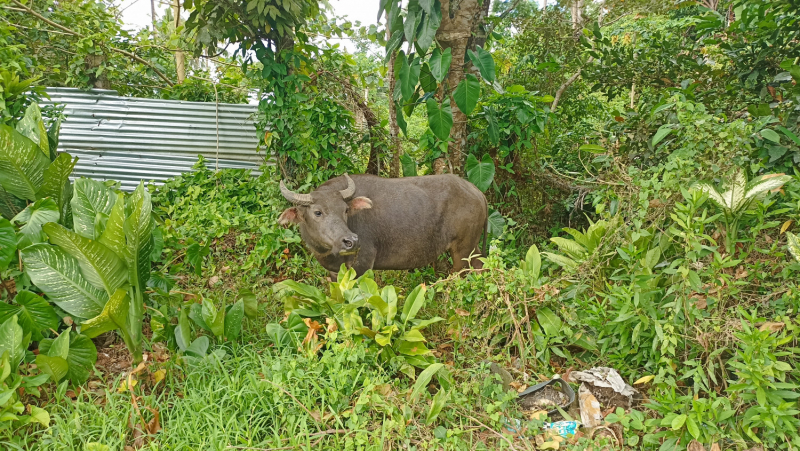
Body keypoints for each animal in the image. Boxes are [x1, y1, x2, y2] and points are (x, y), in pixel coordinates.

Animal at [278, 175, 490, 278]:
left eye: (345, 210)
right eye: (318, 212)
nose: (351, 241)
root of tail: (477, 192)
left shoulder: (363, 266)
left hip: (462, 251)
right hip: (472, 248)